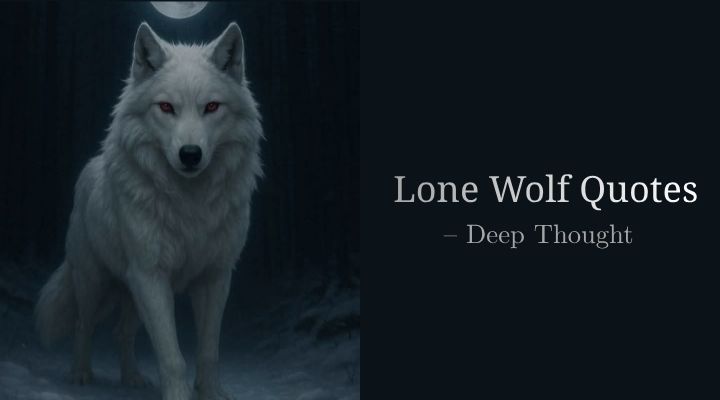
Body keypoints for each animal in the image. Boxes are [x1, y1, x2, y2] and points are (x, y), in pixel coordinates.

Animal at [34, 22, 263, 400]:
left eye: (212, 107)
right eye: (166, 107)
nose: (190, 154)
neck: (190, 203)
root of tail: (90, 167)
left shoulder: (215, 277)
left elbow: (208, 350)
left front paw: (211, 393)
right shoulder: (151, 276)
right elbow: (172, 356)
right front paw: (179, 395)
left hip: (132, 293)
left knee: (121, 333)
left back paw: (132, 379)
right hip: (94, 282)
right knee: (83, 325)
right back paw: (80, 375)